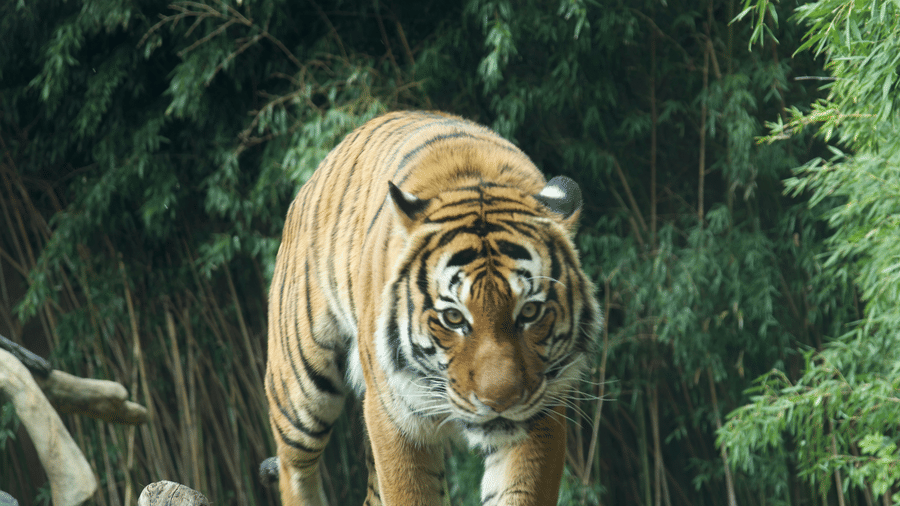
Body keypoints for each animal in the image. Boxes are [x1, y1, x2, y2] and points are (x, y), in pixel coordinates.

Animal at [265, 110, 601, 506]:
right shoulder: (394, 417)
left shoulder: (543, 412)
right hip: (301, 387)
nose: (499, 402)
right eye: (453, 317)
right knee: (295, 467)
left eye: (530, 312)